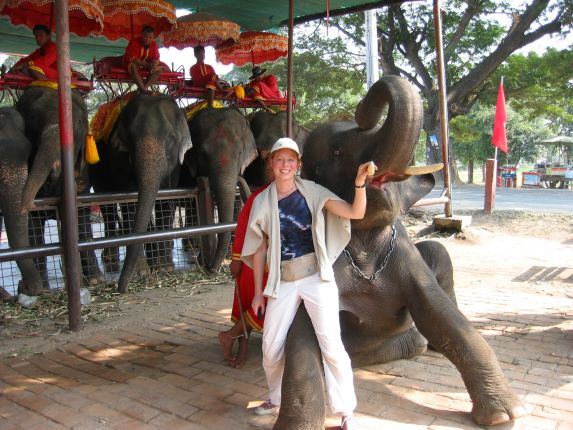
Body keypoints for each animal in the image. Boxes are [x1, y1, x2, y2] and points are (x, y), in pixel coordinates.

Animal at [6, 86, 104, 295]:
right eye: (32, 122)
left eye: (78, 123)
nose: (23, 287)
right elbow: (33, 226)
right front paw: (43, 289)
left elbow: (80, 214)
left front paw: (94, 281)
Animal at [89, 93, 192, 293]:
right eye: (129, 138)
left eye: (171, 137)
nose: (120, 288)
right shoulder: (118, 155)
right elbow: (129, 201)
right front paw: (141, 272)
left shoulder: (176, 163)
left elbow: (166, 200)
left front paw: (164, 268)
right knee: (108, 207)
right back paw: (111, 259)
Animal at [273, 76, 526, 429]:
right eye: (337, 151)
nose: (364, 109)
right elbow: (302, 329)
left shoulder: (407, 260)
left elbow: (440, 314)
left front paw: (505, 414)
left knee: (436, 250)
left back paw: (423, 345)